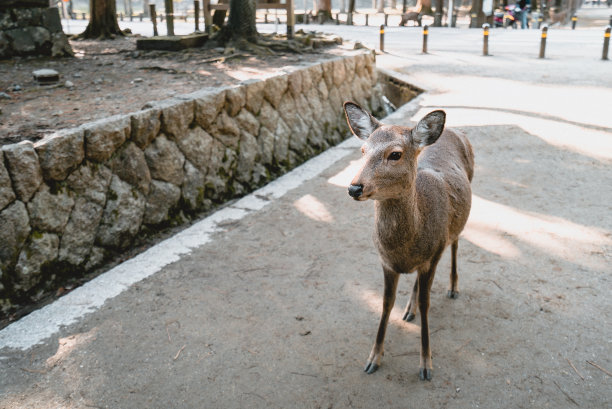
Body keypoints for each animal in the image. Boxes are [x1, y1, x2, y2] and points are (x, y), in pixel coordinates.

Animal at [342, 101, 476, 380]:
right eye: (362, 150)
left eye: (395, 154)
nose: (354, 188)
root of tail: (456, 130)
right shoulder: (386, 262)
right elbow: (385, 304)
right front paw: (373, 359)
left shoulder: (433, 256)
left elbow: (427, 304)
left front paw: (426, 365)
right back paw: (409, 309)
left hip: (455, 224)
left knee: (456, 243)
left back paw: (453, 287)